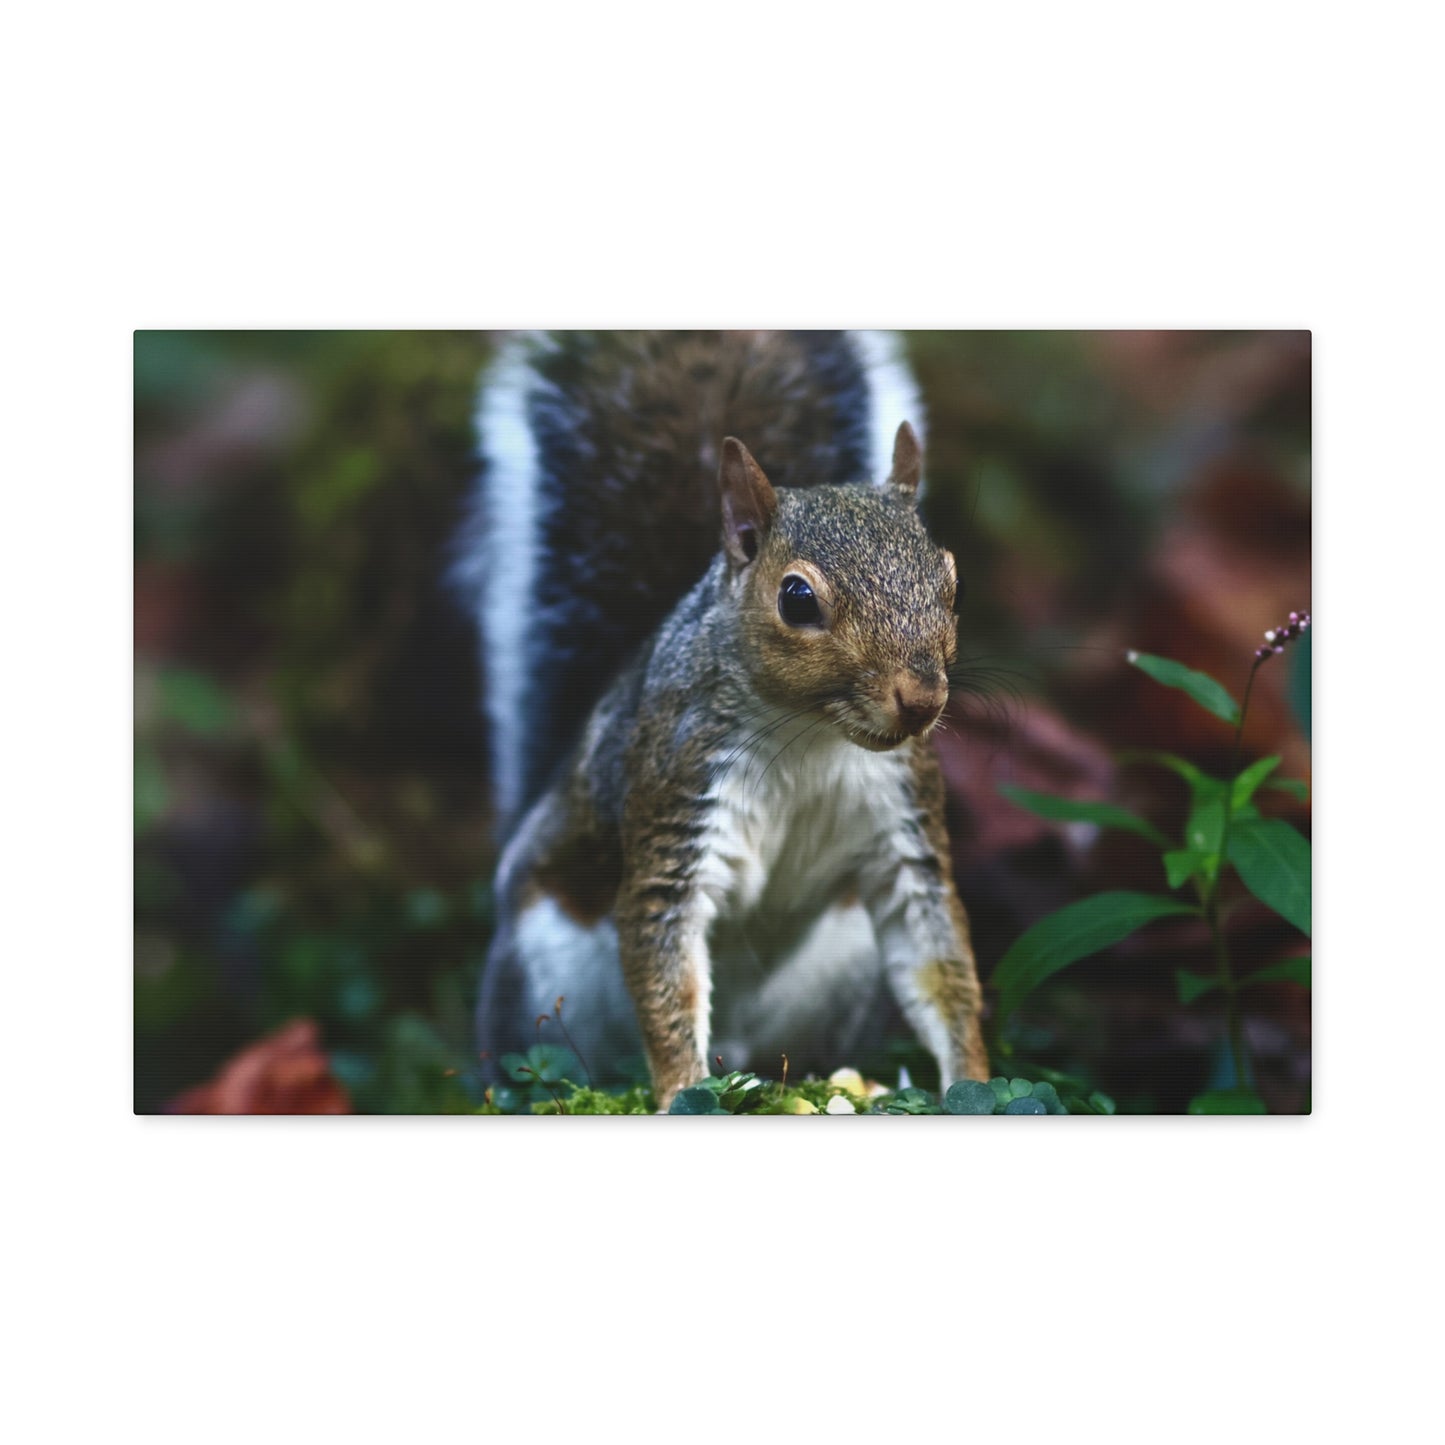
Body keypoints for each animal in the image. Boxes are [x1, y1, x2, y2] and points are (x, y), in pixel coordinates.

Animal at [453, 331, 988, 1109]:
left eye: (953, 582)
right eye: (797, 598)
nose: (921, 698)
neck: (810, 735)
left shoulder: (903, 821)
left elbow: (937, 961)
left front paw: (974, 1078)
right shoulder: (678, 792)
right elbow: (666, 967)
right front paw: (681, 1088)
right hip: (542, 967)